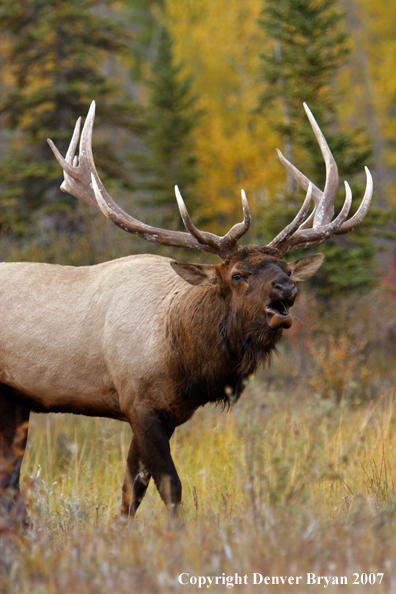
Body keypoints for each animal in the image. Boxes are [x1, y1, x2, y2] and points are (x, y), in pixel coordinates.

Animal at [0, 100, 372, 520]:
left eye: (288, 269)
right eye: (238, 275)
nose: (287, 290)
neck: (183, 356)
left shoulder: (169, 412)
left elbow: (132, 490)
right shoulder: (138, 403)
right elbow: (169, 485)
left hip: (14, 399)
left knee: (10, 479)